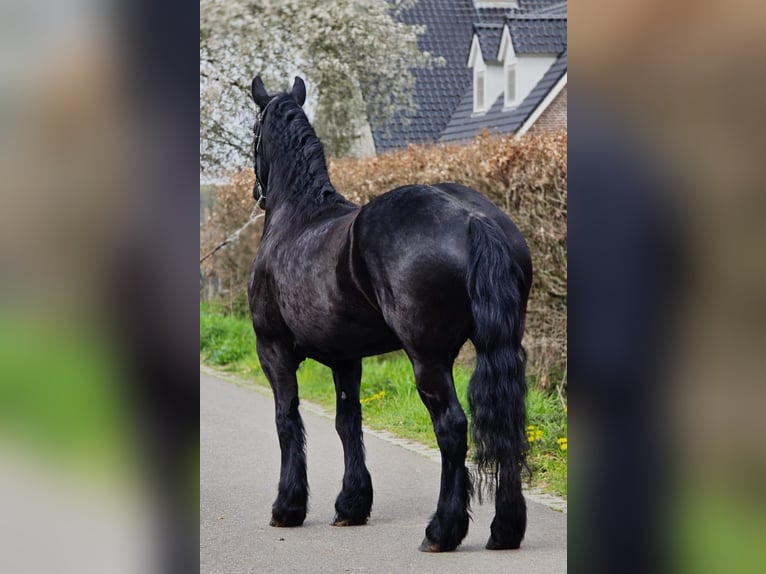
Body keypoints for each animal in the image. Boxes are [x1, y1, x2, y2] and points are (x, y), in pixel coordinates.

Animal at [247, 75, 532, 553]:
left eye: (253, 132)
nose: (257, 191)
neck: (297, 217)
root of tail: (473, 218)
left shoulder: (274, 350)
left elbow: (287, 420)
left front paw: (288, 507)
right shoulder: (345, 358)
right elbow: (348, 423)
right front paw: (351, 505)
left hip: (429, 359)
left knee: (452, 427)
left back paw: (442, 531)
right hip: (501, 345)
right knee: (507, 418)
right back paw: (505, 529)